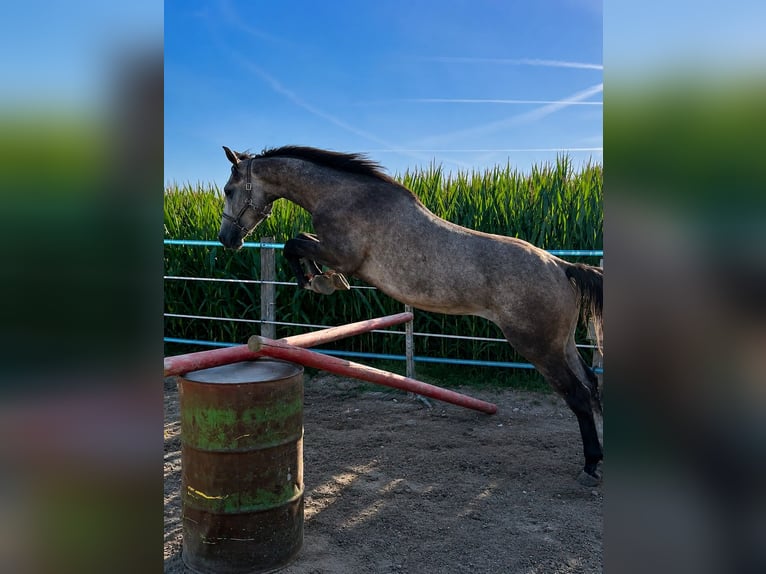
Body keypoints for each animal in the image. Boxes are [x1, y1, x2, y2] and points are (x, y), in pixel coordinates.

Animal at [217, 145, 604, 485]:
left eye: (228, 190)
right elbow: (299, 239)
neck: (343, 196)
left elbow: (293, 244)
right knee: (590, 384)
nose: (226, 240)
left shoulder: (344, 255)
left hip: (538, 347)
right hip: (563, 344)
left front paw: (317, 281)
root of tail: (562, 267)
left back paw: (590, 467)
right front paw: (323, 280)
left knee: (577, 395)